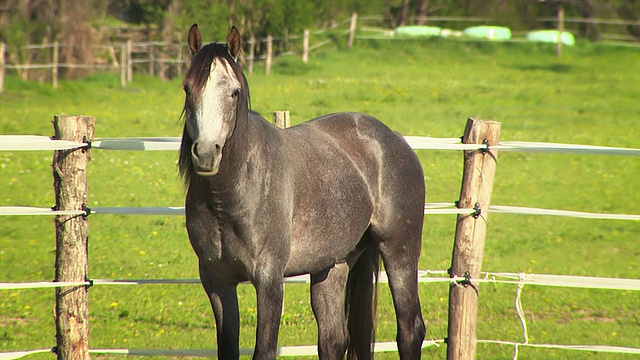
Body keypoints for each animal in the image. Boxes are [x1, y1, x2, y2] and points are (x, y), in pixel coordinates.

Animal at [179, 23, 424, 358]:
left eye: (234, 92)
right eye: (187, 89)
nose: (205, 153)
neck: (229, 195)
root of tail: (394, 139)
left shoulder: (269, 280)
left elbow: (265, 350)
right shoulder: (217, 282)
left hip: (400, 253)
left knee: (410, 331)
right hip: (333, 266)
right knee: (334, 340)